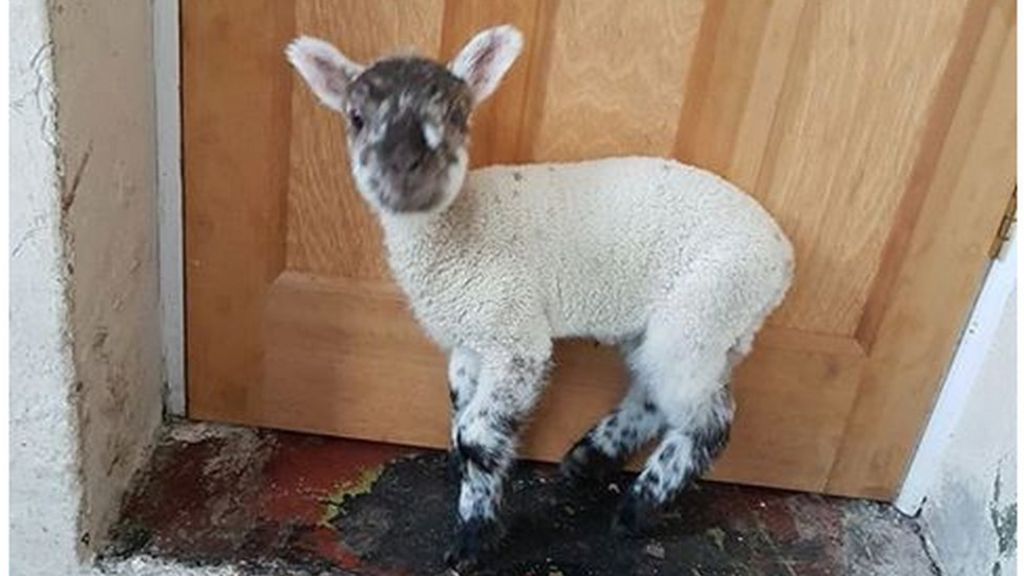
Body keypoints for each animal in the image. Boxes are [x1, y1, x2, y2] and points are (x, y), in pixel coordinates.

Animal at [286, 25, 794, 569]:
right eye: (356, 117)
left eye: (458, 115)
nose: (404, 166)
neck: (461, 231)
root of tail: (783, 259)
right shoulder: (471, 336)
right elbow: (460, 405)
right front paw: (460, 474)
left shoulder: (514, 333)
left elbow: (478, 433)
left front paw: (474, 537)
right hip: (693, 322)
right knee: (658, 392)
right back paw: (588, 460)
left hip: (704, 305)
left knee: (707, 420)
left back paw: (636, 509)